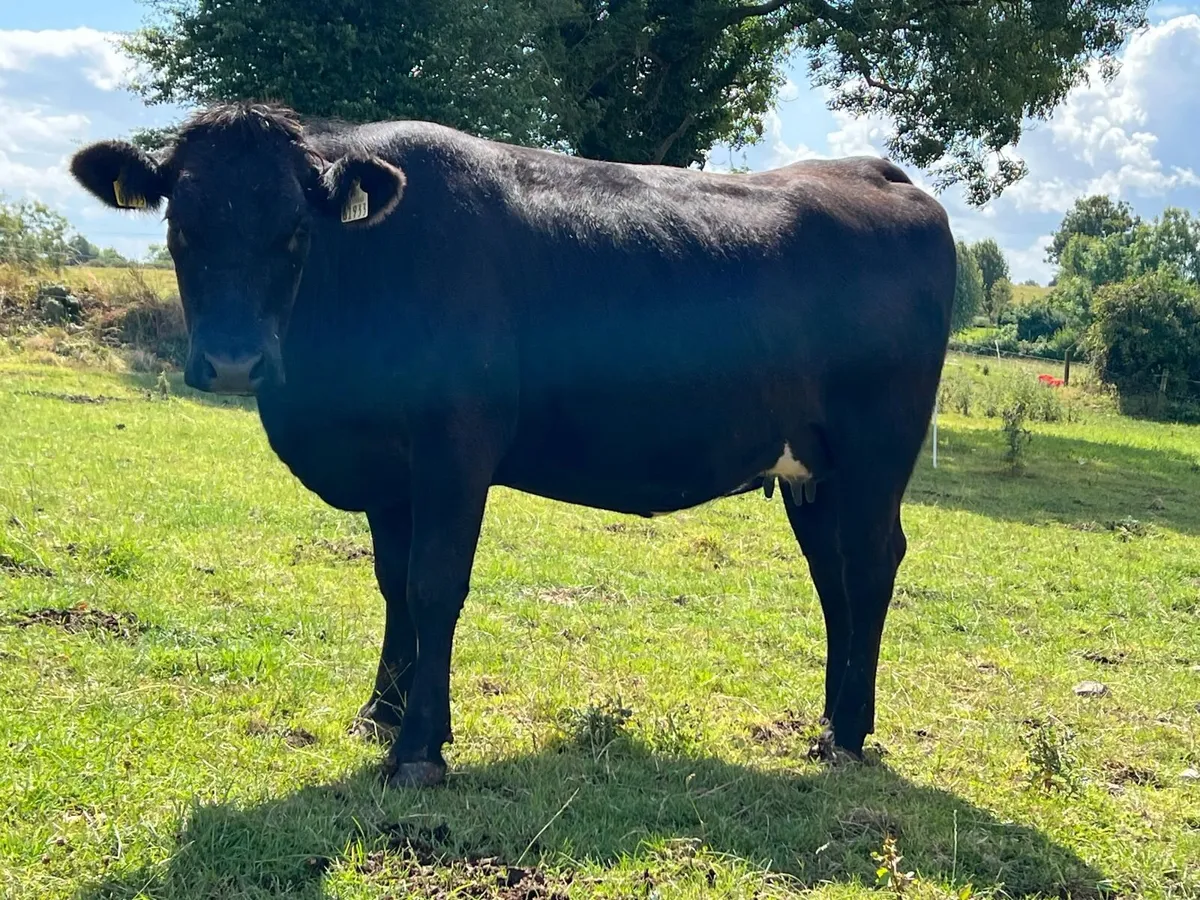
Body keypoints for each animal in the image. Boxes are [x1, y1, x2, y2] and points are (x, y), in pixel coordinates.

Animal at [69, 101, 955, 788]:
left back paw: (847, 735)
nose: (233, 362)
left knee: (871, 565)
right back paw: (833, 720)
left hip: (878, 450)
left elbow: (433, 585)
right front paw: (380, 711)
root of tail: (873, 171)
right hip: (814, 466)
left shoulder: (454, 450)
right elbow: (392, 586)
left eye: (293, 232)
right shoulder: (390, 472)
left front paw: (418, 750)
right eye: (181, 225)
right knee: (833, 578)